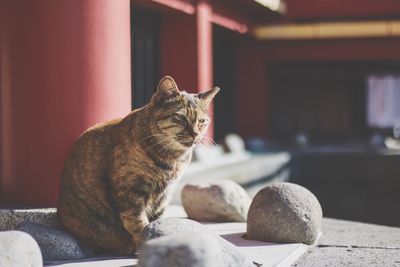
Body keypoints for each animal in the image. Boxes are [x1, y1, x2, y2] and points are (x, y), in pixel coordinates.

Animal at [57, 76, 219, 256]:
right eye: (181, 118)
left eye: (202, 121)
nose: (195, 134)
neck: (172, 159)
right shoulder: (129, 192)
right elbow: (138, 223)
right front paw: (146, 241)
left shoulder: (163, 196)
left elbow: (155, 220)